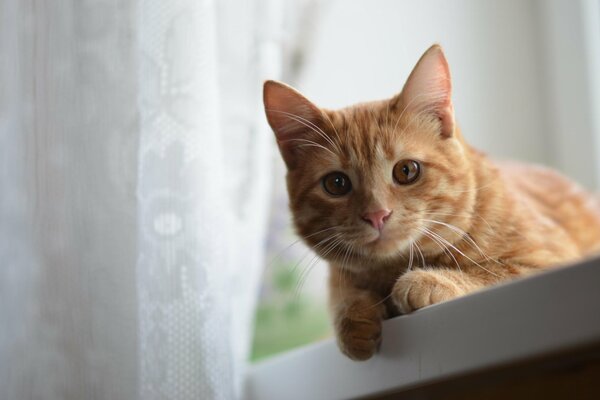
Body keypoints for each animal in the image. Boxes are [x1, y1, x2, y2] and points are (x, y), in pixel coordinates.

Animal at [262, 45, 600, 360]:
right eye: (336, 184)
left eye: (406, 171)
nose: (377, 214)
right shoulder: (341, 277)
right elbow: (343, 297)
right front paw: (354, 318)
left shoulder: (547, 260)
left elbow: (492, 272)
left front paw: (427, 281)